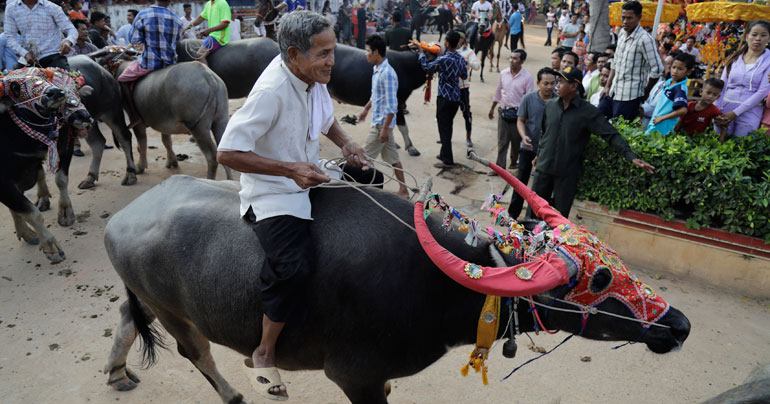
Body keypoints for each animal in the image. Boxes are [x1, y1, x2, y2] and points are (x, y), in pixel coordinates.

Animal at [0, 68, 93, 264]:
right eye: (15, 87)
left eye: (42, 75)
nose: (55, 92)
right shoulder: (4, 182)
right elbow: (30, 212)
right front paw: (51, 247)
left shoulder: (65, 146)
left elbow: (61, 180)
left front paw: (65, 213)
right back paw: (28, 233)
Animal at [103, 177, 688, 404]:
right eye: (597, 280)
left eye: (615, 262)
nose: (678, 325)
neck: (433, 283)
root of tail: (122, 218)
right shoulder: (353, 376)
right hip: (174, 313)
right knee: (196, 352)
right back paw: (239, 390)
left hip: (146, 300)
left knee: (128, 320)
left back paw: (118, 373)